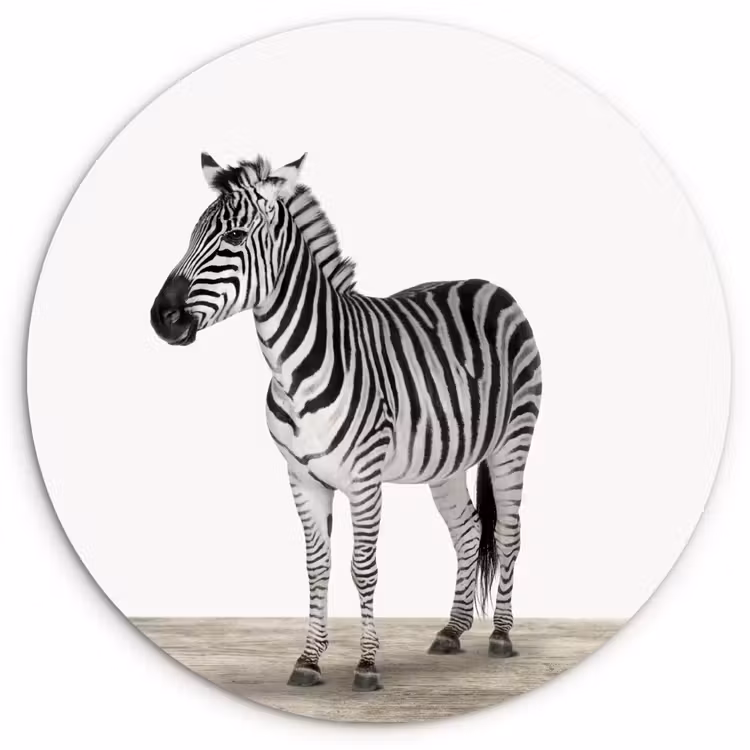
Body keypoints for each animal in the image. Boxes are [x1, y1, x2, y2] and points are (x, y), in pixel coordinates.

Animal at [151, 152, 542, 692]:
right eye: (191, 235)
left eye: (233, 237)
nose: (160, 318)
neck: (292, 369)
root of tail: (489, 285)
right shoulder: (301, 477)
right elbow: (317, 567)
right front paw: (309, 660)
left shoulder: (364, 477)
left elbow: (363, 567)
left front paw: (367, 664)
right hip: (446, 459)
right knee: (466, 530)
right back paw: (453, 629)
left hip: (513, 441)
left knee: (507, 532)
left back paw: (501, 635)